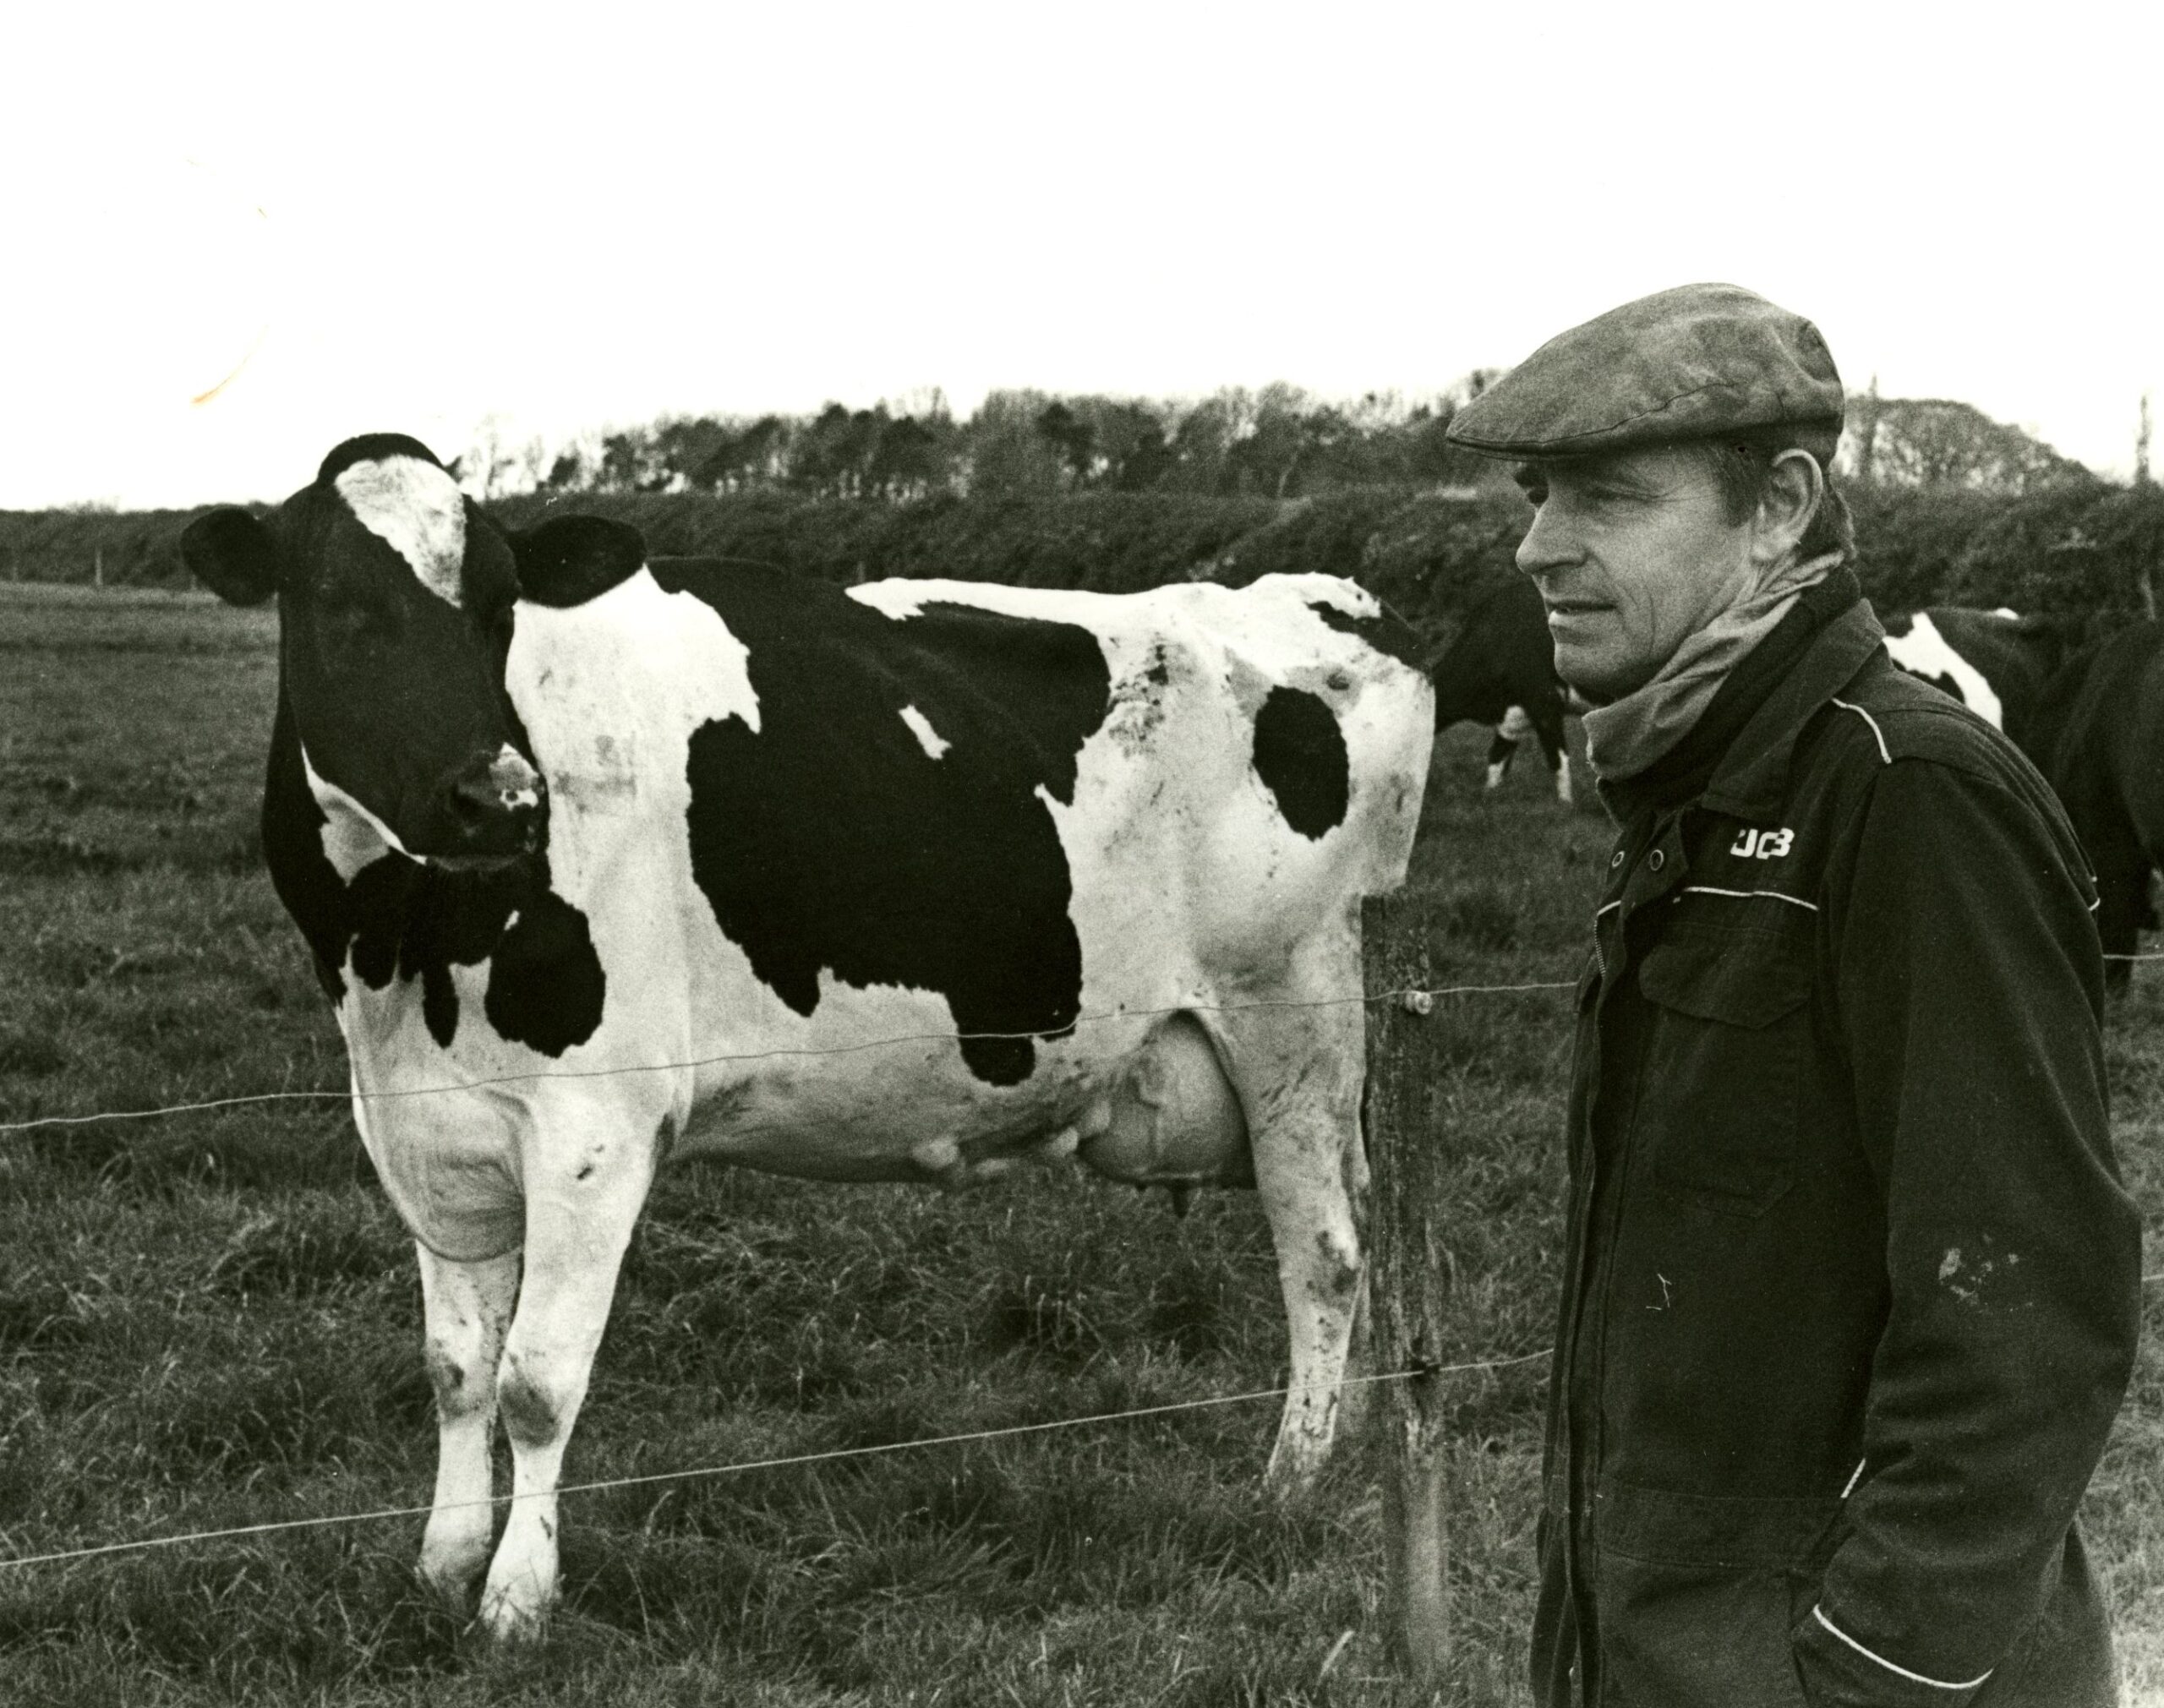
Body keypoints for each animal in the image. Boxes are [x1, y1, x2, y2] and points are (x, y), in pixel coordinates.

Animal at [182, 437, 1436, 1636]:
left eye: (500, 605)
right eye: (337, 601)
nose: (502, 800)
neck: (397, 949)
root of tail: (1323, 594)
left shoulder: (596, 1127)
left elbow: (537, 1382)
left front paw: (516, 1600)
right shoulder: (428, 1131)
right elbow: (455, 1372)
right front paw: (443, 1566)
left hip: (1295, 1022)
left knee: (1325, 1252)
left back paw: (1291, 1481)